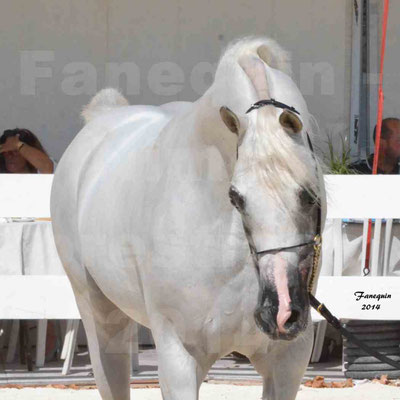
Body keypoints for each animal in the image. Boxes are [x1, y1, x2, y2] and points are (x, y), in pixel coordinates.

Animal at [50, 36, 324, 398]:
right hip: (100, 316)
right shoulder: (179, 357)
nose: (280, 312)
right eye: (236, 197)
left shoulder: (287, 361)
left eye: (309, 194)